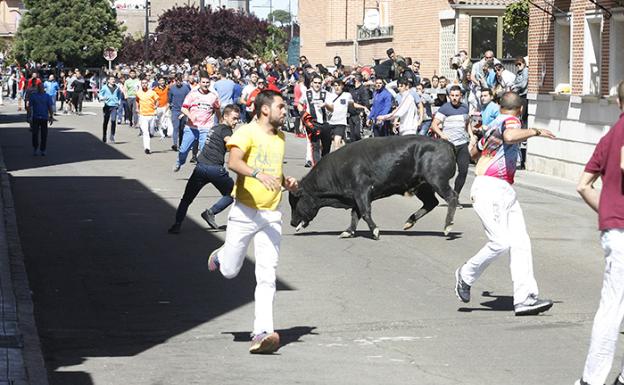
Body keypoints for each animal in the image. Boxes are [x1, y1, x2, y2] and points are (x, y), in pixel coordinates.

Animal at [288, 134, 458, 238]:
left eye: (295, 202)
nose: (292, 223)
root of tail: (445, 143)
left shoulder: (362, 191)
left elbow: (364, 212)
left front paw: (375, 231)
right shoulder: (355, 197)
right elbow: (355, 215)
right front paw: (348, 232)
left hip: (437, 181)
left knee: (452, 197)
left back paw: (447, 226)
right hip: (422, 186)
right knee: (431, 202)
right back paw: (409, 222)